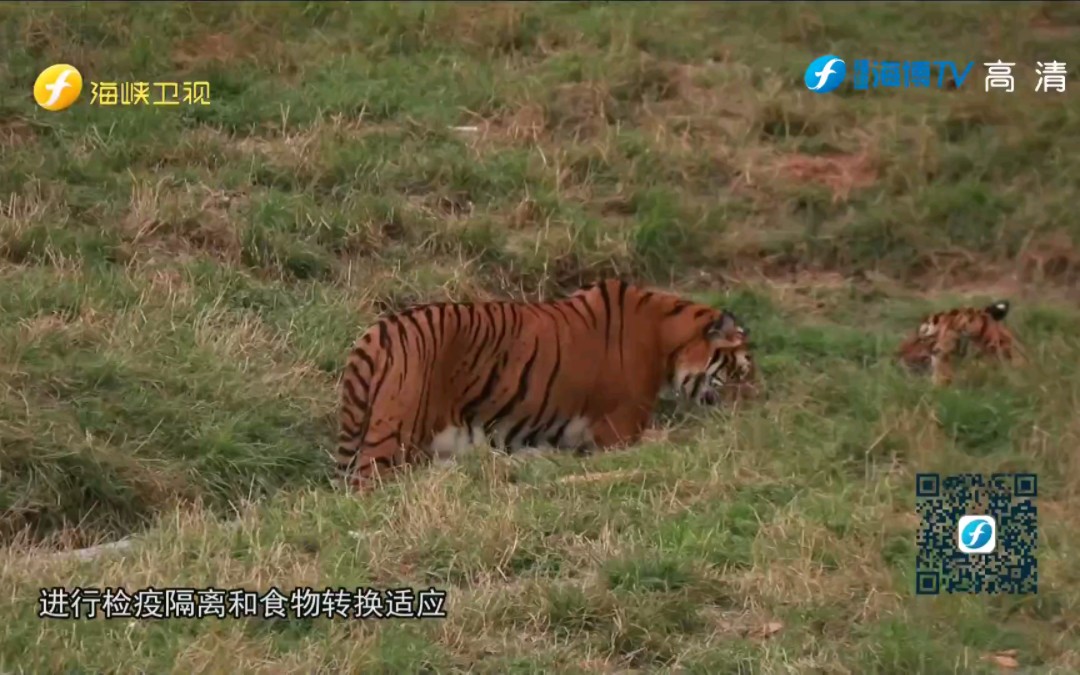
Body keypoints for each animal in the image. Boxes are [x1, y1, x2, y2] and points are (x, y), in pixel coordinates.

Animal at [332, 278, 756, 490]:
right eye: (743, 368)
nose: (750, 407)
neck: (665, 336)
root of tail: (376, 333)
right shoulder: (620, 429)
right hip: (392, 437)